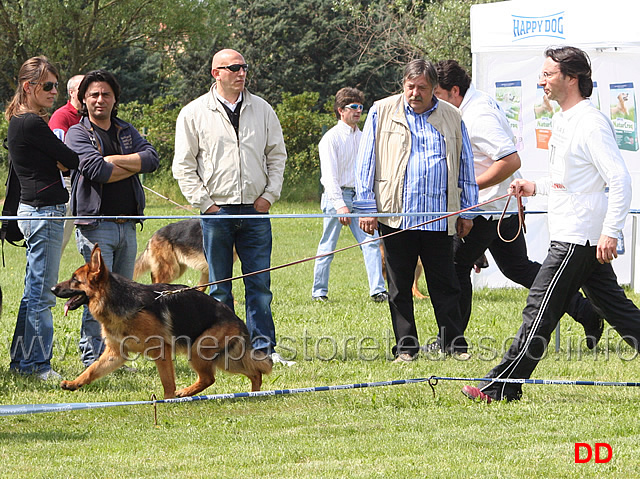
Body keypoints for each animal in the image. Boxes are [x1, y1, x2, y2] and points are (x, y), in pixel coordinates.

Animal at [50, 246, 270, 400]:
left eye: (74, 279)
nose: (52, 288)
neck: (118, 301)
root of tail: (237, 319)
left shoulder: (160, 350)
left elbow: (167, 381)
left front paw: (168, 400)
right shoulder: (116, 354)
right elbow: (92, 370)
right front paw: (74, 383)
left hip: (198, 351)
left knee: (211, 378)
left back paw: (186, 393)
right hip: (224, 359)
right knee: (255, 372)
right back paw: (254, 393)